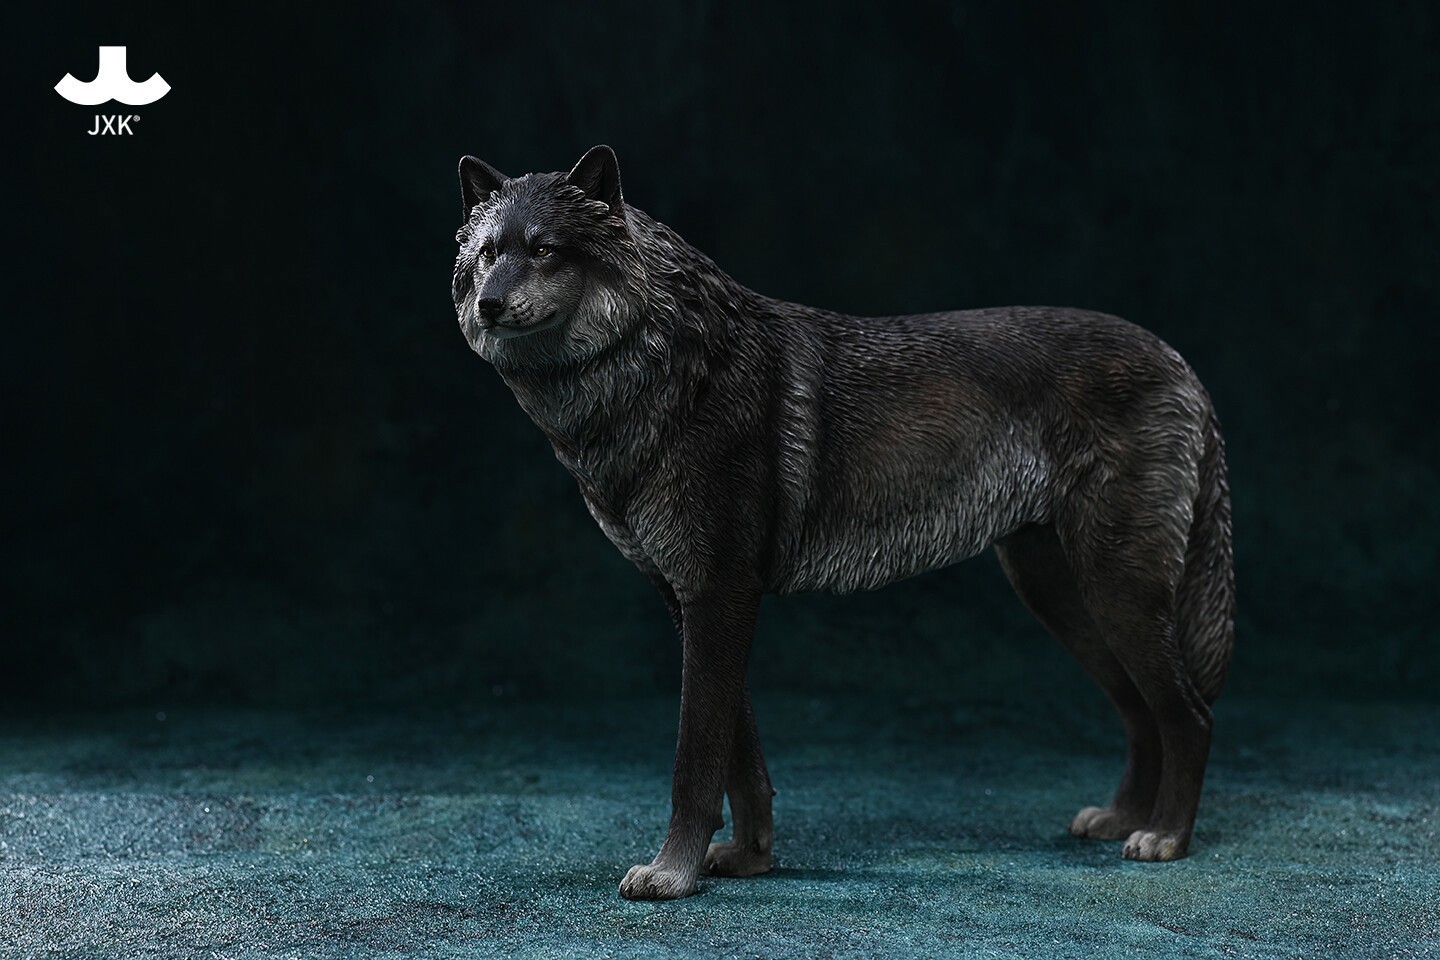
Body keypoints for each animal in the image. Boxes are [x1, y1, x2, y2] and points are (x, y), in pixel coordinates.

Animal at [451, 145, 1234, 901]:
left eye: (546, 250)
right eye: (488, 253)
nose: (488, 304)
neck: (665, 367)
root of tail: (1180, 362)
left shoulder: (720, 596)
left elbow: (696, 758)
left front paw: (673, 876)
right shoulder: (687, 600)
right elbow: (741, 756)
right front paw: (748, 858)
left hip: (1114, 591)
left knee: (1188, 713)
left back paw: (1165, 837)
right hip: (1061, 596)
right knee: (1140, 710)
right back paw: (1123, 818)